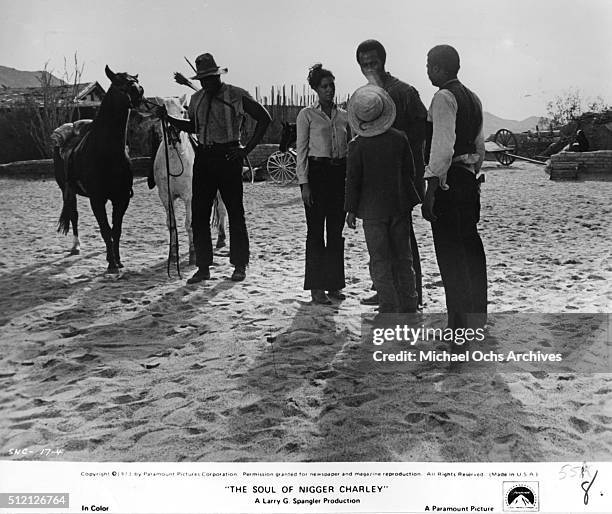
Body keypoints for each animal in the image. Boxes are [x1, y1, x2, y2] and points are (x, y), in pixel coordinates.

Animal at [54, 66, 145, 272]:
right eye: (118, 82)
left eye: (135, 80)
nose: (138, 91)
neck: (108, 153)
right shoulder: (97, 200)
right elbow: (105, 230)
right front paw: (111, 263)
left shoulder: (121, 199)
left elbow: (115, 230)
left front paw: (117, 260)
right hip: (66, 189)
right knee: (74, 215)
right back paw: (76, 246)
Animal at [149, 97, 226, 264]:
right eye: (163, 112)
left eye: (181, 111)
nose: (173, 130)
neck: (175, 160)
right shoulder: (166, 197)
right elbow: (171, 224)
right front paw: (172, 254)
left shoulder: (189, 197)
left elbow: (189, 223)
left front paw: (193, 253)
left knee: (222, 210)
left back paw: (221, 238)